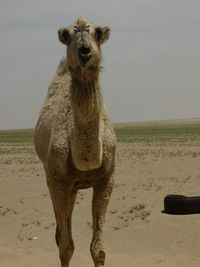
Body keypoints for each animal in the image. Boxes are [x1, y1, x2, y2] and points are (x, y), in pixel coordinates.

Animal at [34, 17, 115, 267]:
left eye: (96, 33)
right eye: (69, 35)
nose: (84, 51)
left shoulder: (106, 179)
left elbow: (98, 248)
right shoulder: (58, 180)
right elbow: (66, 247)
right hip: (52, 180)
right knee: (61, 232)